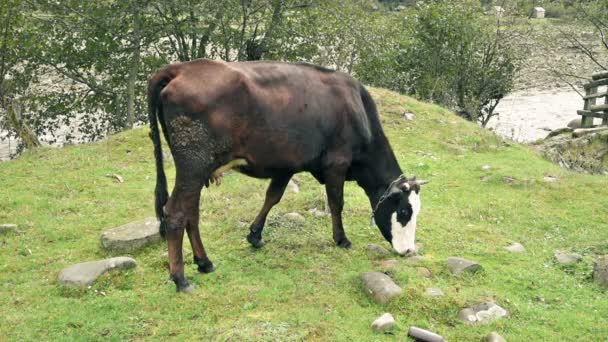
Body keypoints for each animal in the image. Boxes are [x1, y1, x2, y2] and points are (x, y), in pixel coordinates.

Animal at [148, 58, 428, 292]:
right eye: (404, 212)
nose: (408, 251)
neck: (357, 110)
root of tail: (182, 68)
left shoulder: (286, 165)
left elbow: (272, 197)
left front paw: (255, 235)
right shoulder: (336, 164)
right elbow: (336, 203)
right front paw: (342, 239)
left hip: (197, 170)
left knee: (191, 213)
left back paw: (204, 262)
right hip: (193, 165)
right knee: (175, 213)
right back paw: (180, 278)